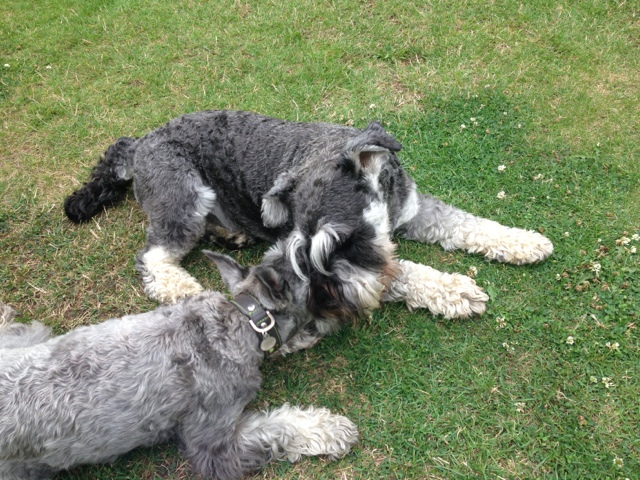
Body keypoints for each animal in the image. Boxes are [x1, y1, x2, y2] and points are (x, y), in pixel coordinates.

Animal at [0, 251, 358, 480]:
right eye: (311, 278)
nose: (343, 284)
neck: (236, 323)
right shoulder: (214, 445)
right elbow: (276, 428)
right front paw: (332, 430)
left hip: (31, 337)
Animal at [64, 110, 553, 353]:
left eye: (346, 239)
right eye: (304, 253)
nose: (332, 300)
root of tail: (138, 144)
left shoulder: (416, 209)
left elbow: (468, 223)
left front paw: (525, 241)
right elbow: (403, 272)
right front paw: (455, 290)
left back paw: (230, 235)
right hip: (183, 197)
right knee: (154, 256)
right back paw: (184, 287)